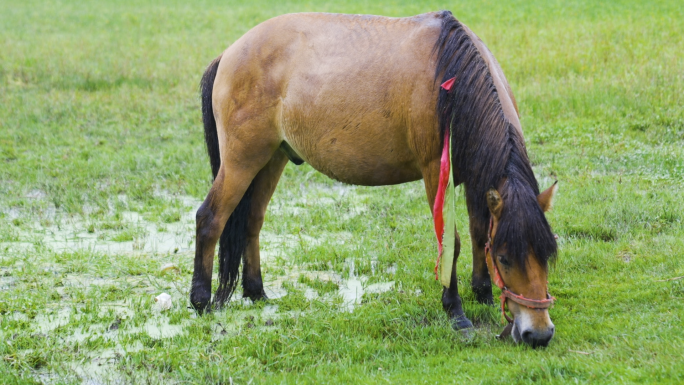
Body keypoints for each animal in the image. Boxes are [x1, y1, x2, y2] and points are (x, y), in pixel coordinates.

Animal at [190, 9, 560, 348]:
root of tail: (230, 53)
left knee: (251, 221)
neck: (453, 73)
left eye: (547, 253)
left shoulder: (475, 177)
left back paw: (256, 292)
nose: (538, 333)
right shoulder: (434, 172)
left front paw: (482, 292)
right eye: (505, 258)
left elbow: (478, 230)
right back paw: (200, 299)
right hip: (242, 161)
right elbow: (450, 243)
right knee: (211, 218)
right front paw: (455, 311)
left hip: (272, 159)